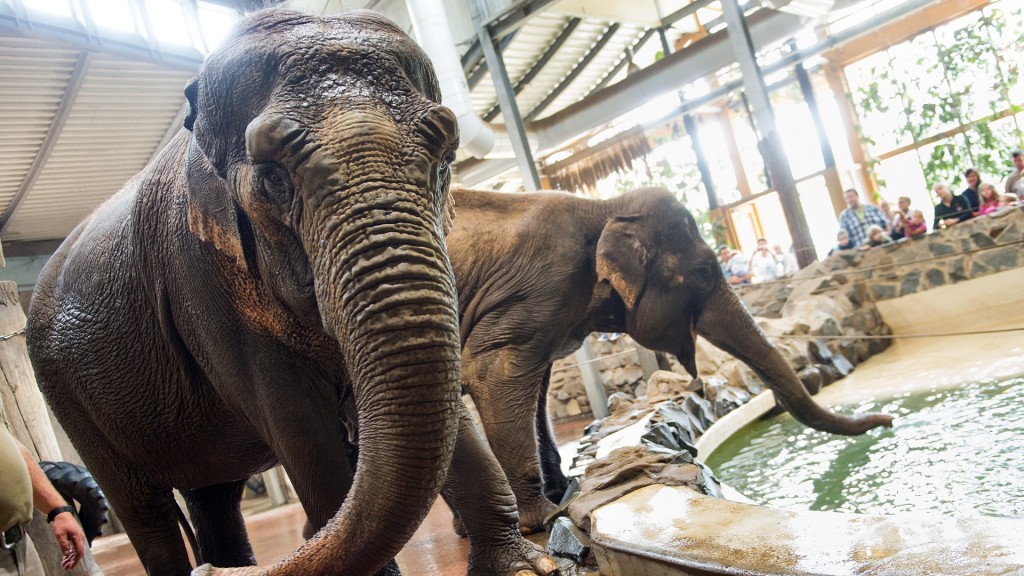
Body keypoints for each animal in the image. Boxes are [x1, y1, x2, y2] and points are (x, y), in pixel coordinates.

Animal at [29, 8, 561, 573]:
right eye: (273, 180)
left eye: (446, 158)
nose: (207, 573)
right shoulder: (199, 280)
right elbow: (301, 428)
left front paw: (524, 564)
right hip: (68, 398)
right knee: (145, 508)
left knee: (214, 493)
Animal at [444, 187, 892, 528]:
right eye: (704, 273)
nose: (888, 419)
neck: (606, 208)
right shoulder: (540, 290)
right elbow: (494, 375)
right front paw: (546, 518)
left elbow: (535, 388)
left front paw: (559, 496)